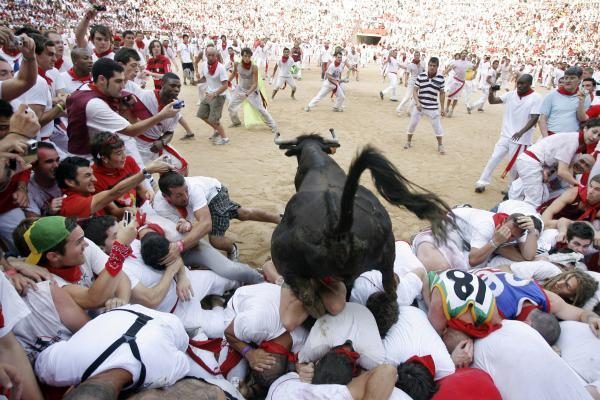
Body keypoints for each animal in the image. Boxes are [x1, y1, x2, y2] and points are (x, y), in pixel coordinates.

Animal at [270, 134, 452, 318]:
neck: (318, 163)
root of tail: (337, 227)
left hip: (287, 269)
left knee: (313, 304)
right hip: (388, 255)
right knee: (390, 287)